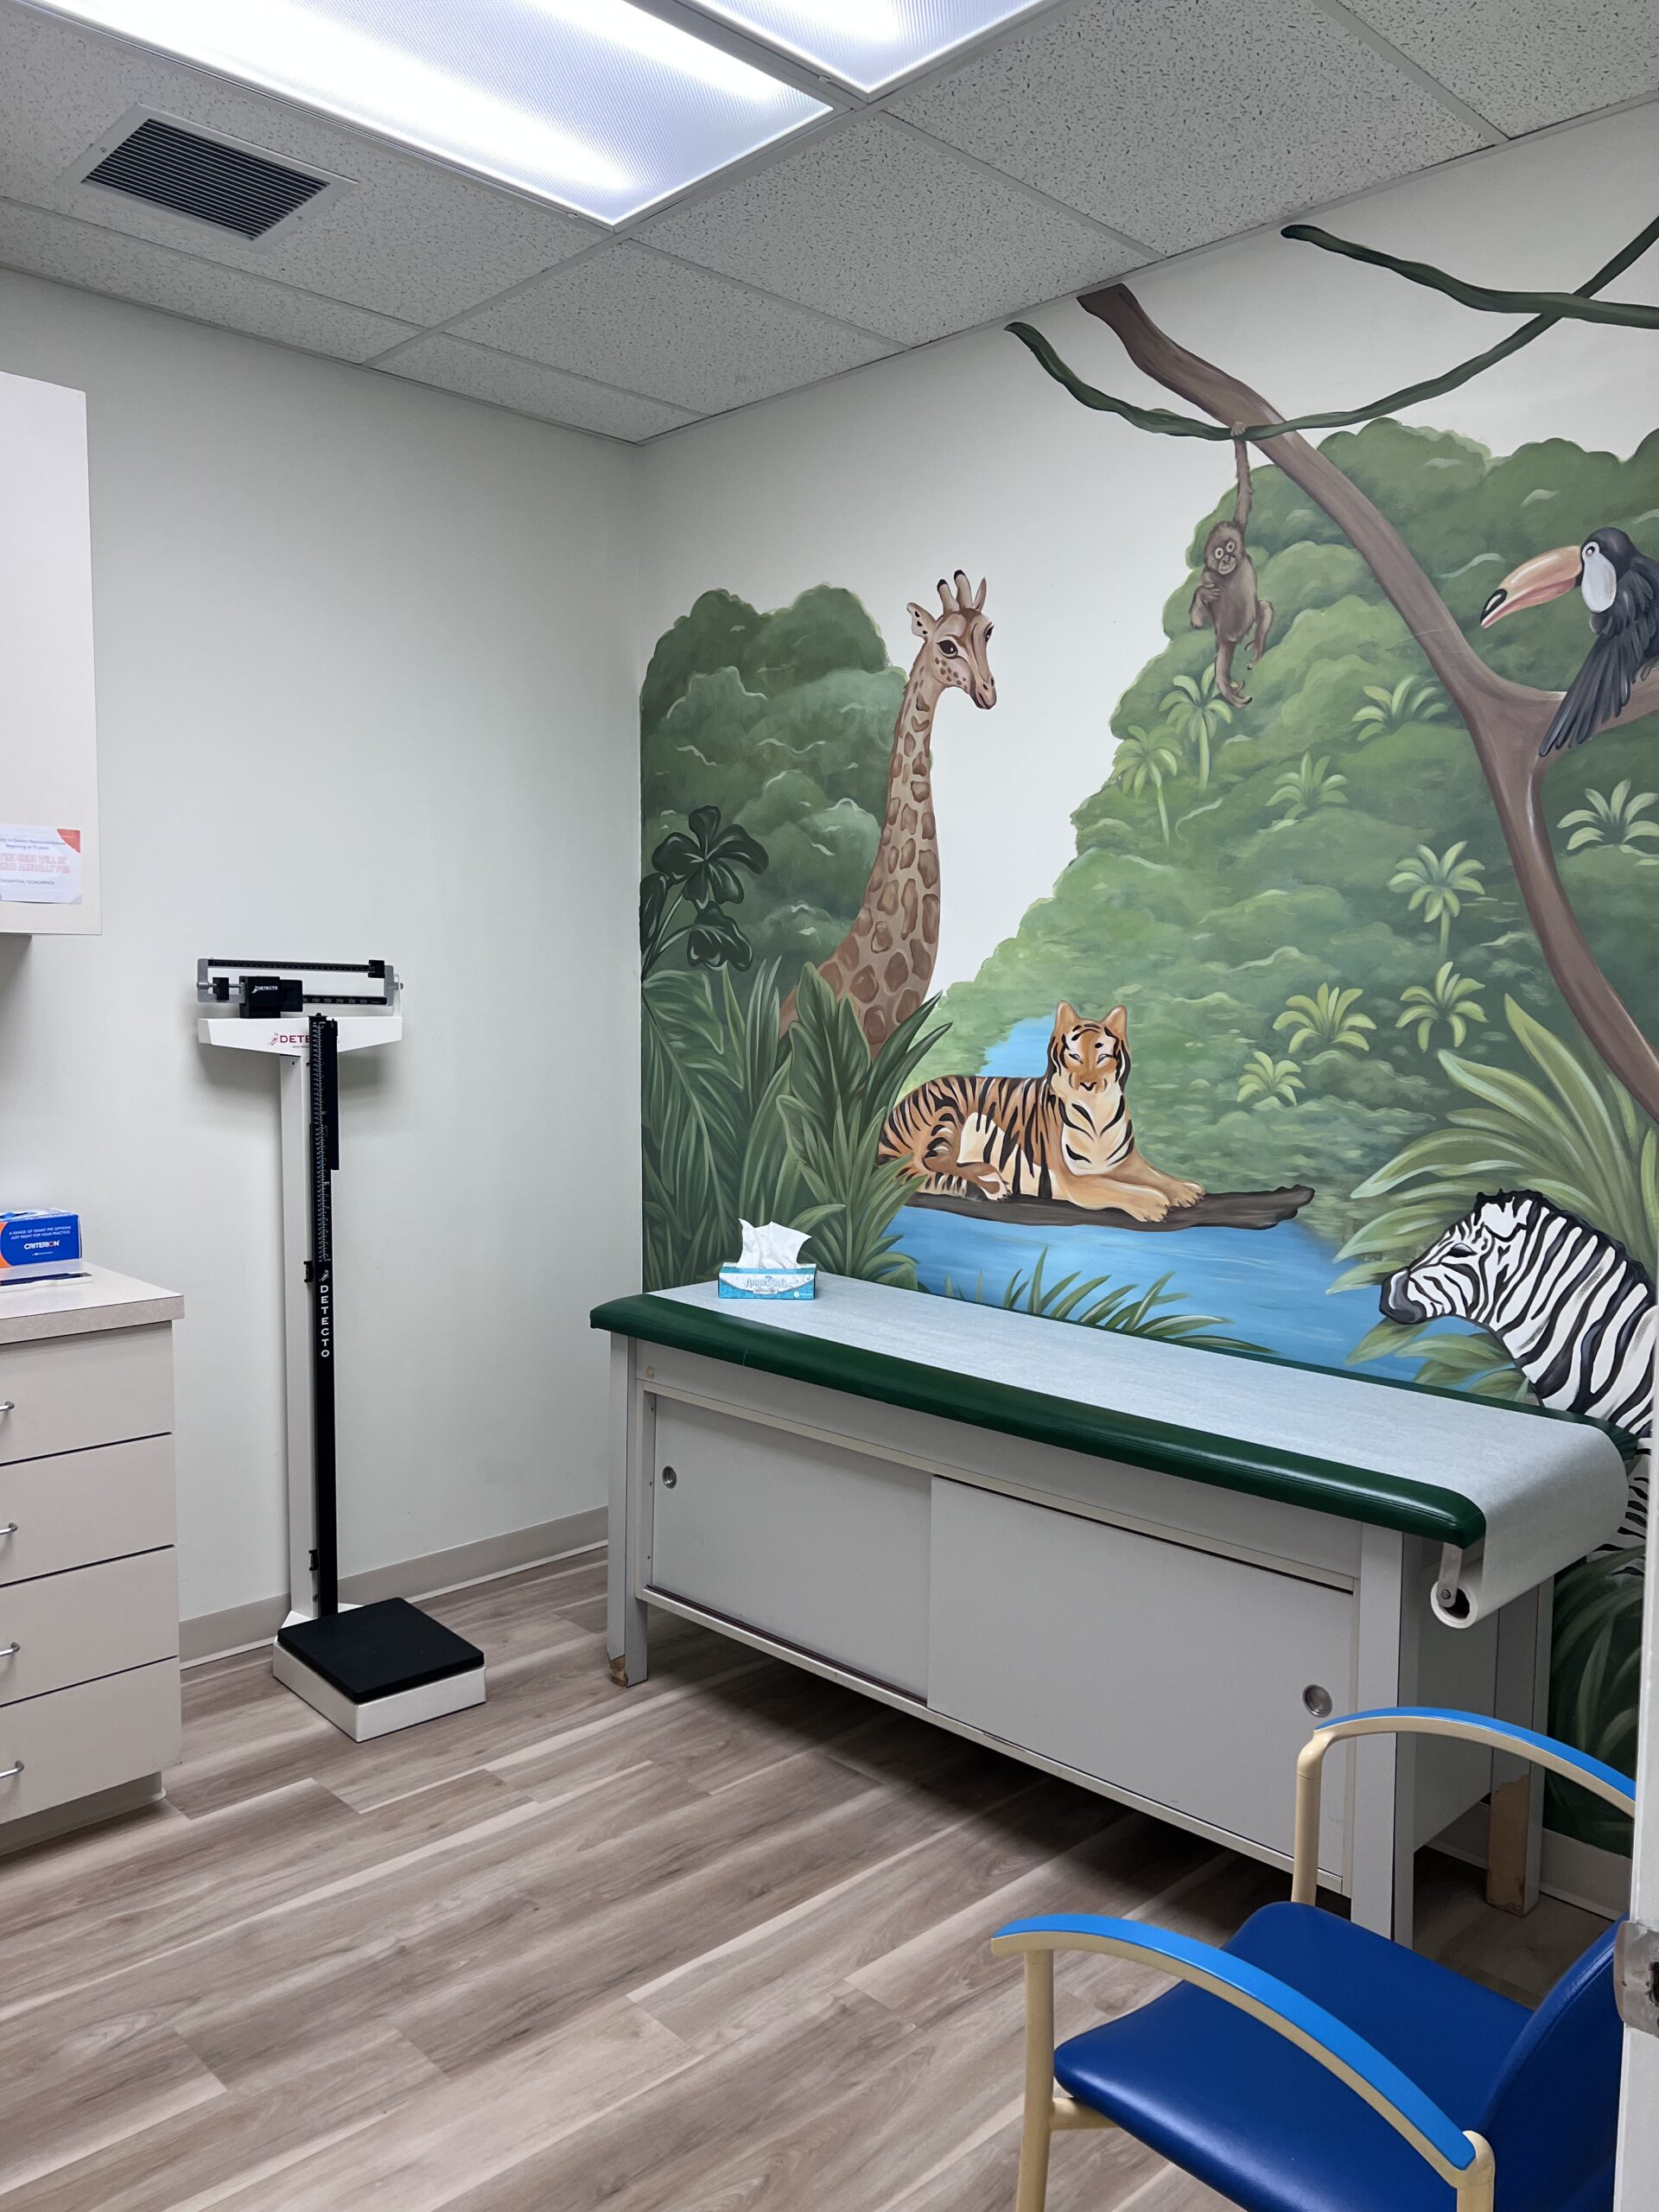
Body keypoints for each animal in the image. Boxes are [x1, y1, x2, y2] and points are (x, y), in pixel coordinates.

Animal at [1189, 437, 1272, 708]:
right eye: (1218, 553)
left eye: (1230, 547)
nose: (1226, 558)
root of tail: (1237, 636)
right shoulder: (1207, 576)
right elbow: (1198, 621)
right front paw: (1202, 594)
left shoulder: (1239, 528)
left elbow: (1244, 491)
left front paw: (1239, 436)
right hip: (1224, 641)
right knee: (1221, 665)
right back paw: (1228, 689)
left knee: (1265, 608)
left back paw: (1258, 647)